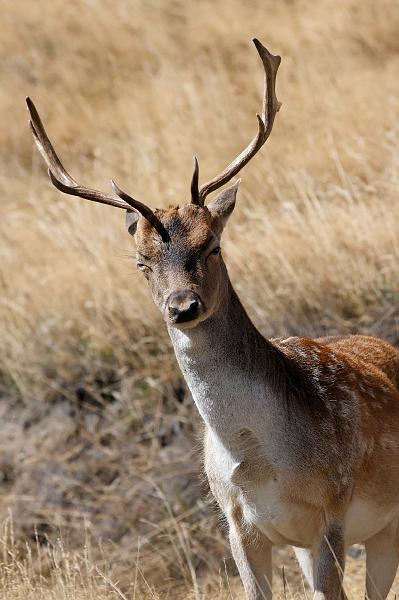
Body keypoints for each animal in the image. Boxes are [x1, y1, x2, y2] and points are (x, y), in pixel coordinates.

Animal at [25, 39, 399, 596]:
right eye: (142, 263)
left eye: (212, 246)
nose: (183, 306)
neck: (258, 460)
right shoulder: (239, 525)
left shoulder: (332, 511)